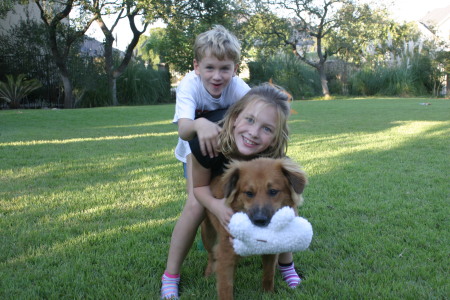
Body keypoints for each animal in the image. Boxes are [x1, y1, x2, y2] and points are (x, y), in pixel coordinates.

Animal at [202, 158, 308, 298]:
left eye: (273, 191)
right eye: (249, 193)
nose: (260, 220)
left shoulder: (270, 251)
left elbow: (269, 274)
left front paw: (268, 294)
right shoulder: (225, 254)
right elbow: (226, 287)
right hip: (208, 234)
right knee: (211, 255)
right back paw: (208, 273)